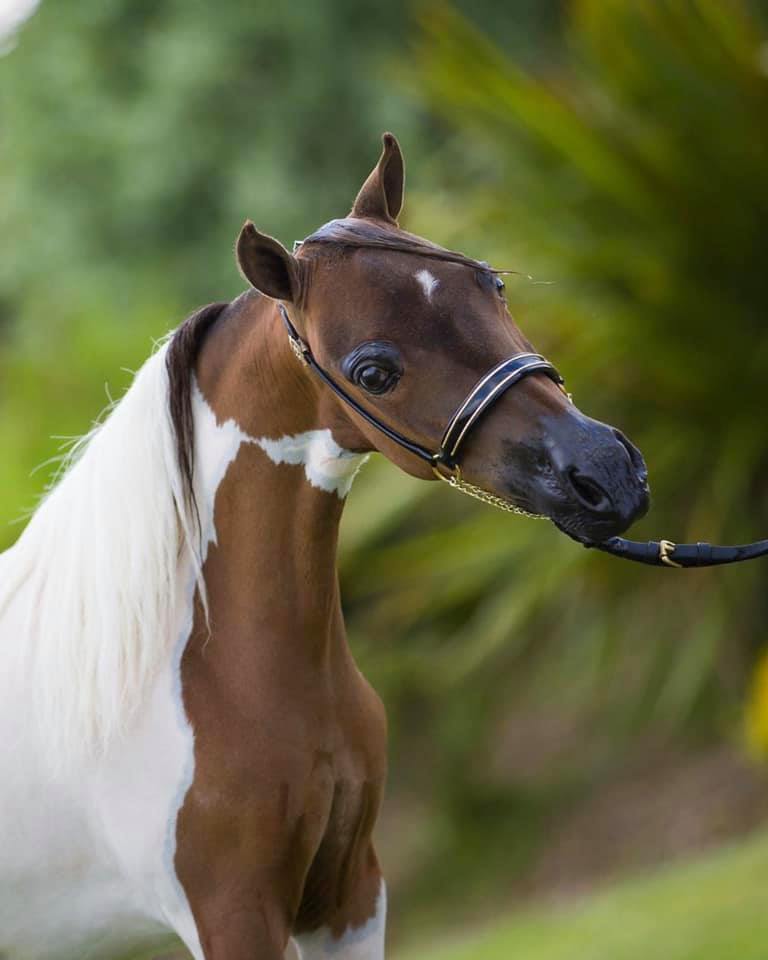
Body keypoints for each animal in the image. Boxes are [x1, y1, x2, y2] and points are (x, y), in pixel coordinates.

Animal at [0, 133, 649, 960]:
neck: (210, 668)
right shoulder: (235, 915)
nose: (605, 474)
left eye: (494, 283)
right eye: (372, 371)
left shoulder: (349, 894)